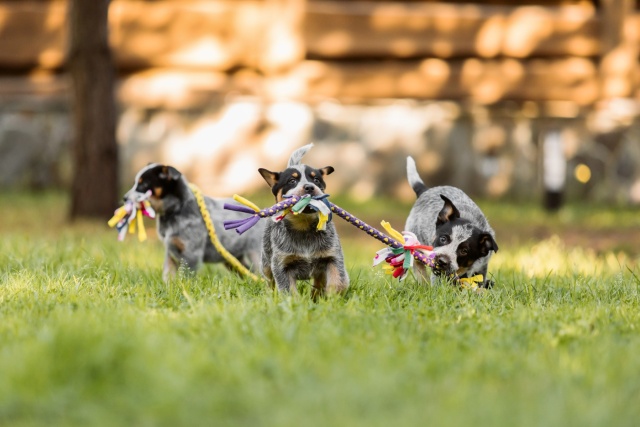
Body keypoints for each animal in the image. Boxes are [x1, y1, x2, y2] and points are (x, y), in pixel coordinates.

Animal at [124, 166, 264, 282]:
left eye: (144, 184)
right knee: (248, 271)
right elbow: (168, 273)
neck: (176, 210)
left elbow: (185, 276)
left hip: (256, 253)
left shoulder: (191, 253)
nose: (124, 198)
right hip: (232, 258)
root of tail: (259, 213)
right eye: (135, 183)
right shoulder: (170, 252)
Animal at [258, 144, 350, 298]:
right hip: (266, 262)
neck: (303, 227)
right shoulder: (281, 263)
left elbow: (338, 282)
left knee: (319, 281)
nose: (309, 187)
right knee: (269, 281)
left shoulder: (332, 256)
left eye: (316, 180)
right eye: (292, 181)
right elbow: (288, 290)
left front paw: (332, 299)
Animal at [404, 155, 500, 290]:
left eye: (464, 251)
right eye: (443, 239)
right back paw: (423, 282)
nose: (442, 261)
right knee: (418, 265)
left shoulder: (482, 265)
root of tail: (426, 190)